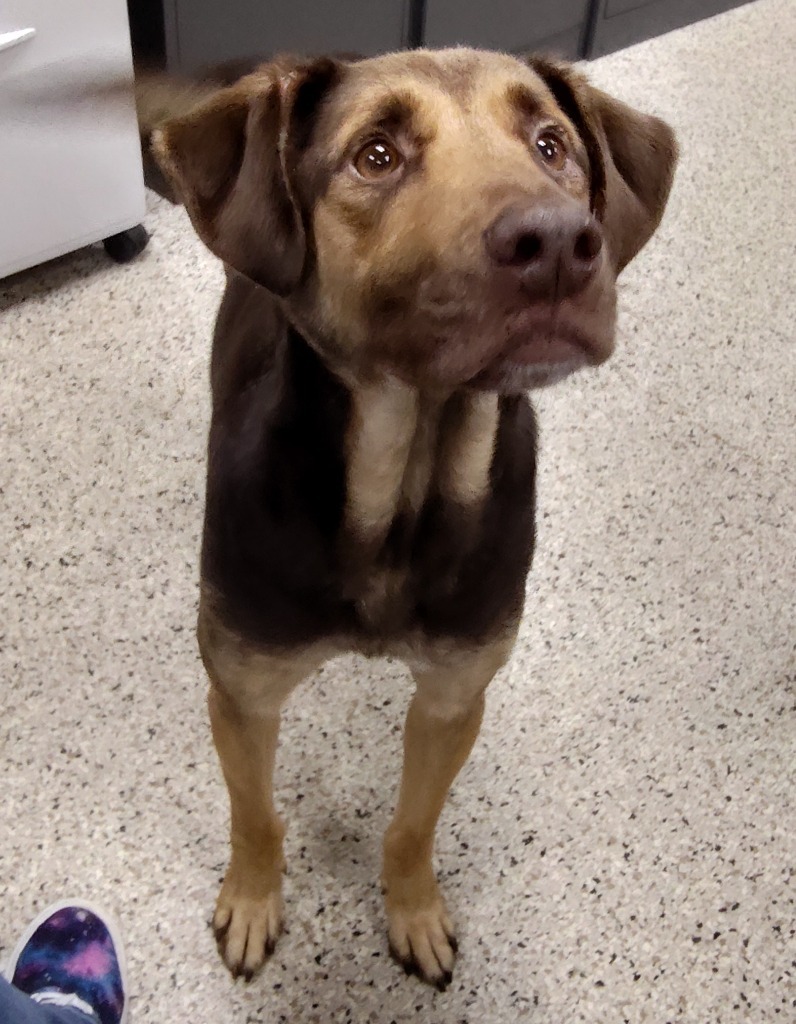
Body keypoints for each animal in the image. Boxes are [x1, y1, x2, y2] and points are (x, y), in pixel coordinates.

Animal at [139, 49, 672, 991]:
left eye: (551, 146)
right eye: (376, 156)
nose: (559, 245)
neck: (402, 496)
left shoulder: (455, 696)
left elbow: (413, 825)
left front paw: (414, 909)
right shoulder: (242, 693)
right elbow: (255, 816)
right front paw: (253, 897)